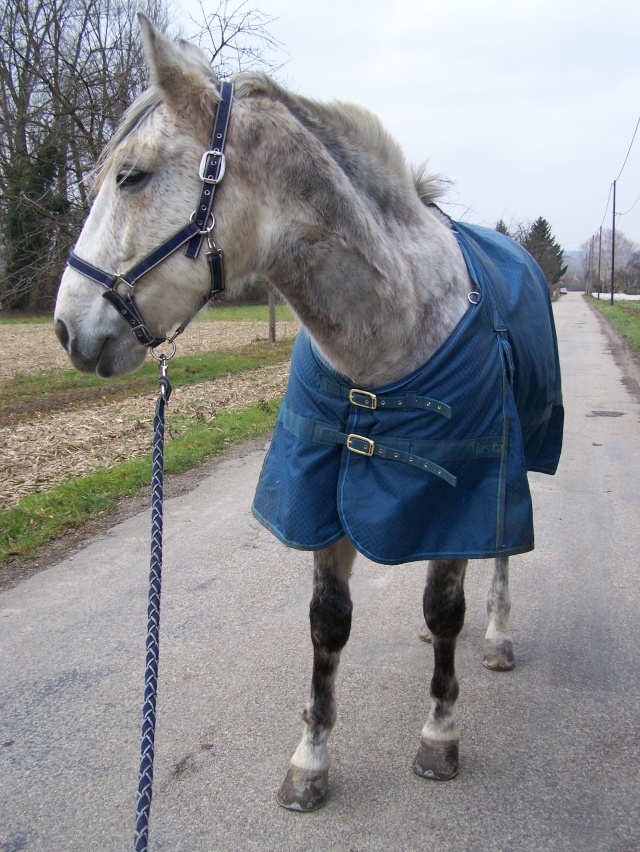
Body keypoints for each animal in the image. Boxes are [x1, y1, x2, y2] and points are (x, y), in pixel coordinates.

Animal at [56, 15, 564, 812]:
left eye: (131, 175)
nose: (66, 329)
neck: (386, 331)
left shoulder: (456, 487)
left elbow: (444, 604)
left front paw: (439, 734)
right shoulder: (325, 495)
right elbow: (330, 624)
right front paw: (311, 760)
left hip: (512, 463)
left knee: (502, 552)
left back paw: (497, 637)